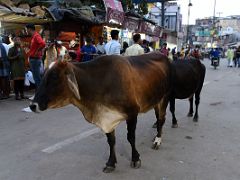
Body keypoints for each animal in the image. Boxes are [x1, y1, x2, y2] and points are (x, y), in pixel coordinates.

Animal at [30, 52, 172, 173]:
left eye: (54, 77)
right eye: (43, 75)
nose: (32, 105)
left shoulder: (132, 113)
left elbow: (131, 138)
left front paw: (135, 159)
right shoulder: (107, 118)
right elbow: (111, 141)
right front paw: (111, 163)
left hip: (165, 97)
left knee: (161, 119)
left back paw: (157, 140)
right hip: (156, 99)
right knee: (158, 118)